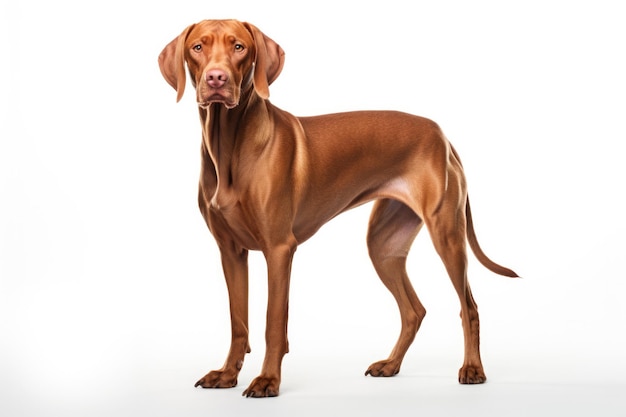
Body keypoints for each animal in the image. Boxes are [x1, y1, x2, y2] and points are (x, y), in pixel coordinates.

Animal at [157, 19, 516, 396]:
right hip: (383, 245)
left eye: (239, 47)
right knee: (413, 310)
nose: (216, 79)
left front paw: (268, 380)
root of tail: (442, 135)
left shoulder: (279, 249)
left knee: (468, 307)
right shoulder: (231, 251)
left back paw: (473, 369)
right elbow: (238, 322)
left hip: (447, 236)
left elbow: (274, 322)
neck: (229, 143)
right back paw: (391, 365)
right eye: (198, 47)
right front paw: (227, 374)